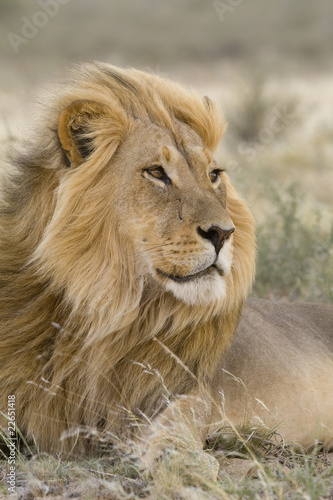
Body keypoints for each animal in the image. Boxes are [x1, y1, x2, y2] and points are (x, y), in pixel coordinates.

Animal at [0, 62, 332, 464]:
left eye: (213, 175)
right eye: (157, 173)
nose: (223, 232)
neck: (103, 309)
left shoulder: (179, 392)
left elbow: (174, 435)